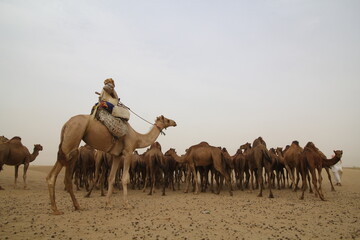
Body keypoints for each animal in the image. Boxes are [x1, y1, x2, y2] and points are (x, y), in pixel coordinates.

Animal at [46, 113, 177, 215]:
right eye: (166, 119)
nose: (174, 122)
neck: (137, 138)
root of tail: (66, 124)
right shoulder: (128, 152)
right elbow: (124, 179)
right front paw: (127, 204)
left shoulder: (117, 156)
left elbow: (111, 178)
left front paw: (108, 203)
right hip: (72, 140)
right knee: (56, 175)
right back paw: (59, 209)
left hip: (67, 144)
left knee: (57, 176)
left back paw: (71, 206)